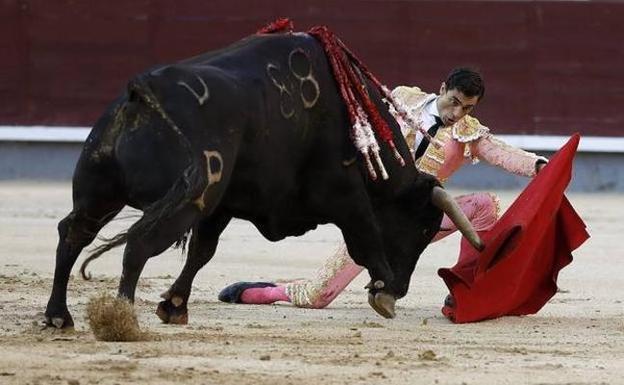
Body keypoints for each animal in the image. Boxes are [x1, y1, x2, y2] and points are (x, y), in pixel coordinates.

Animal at [44, 31, 482, 328]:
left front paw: (174, 306)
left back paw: (58, 316)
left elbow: (202, 252)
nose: (404, 287)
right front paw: (384, 291)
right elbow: (366, 237)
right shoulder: (344, 194)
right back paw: (119, 320)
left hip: (101, 191)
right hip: (190, 196)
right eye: (424, 229)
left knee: (73, 233)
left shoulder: (224, 206)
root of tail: (144, 91)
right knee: (137, 243)